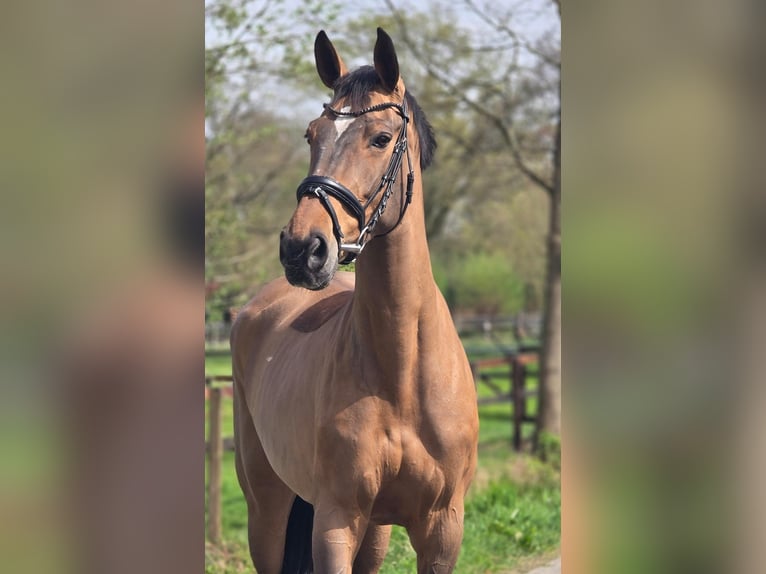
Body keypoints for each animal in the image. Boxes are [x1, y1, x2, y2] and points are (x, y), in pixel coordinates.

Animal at [231, 28, 479, 574]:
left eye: (381, 138)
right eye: (312, 134)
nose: (302, 248)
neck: (402, 371)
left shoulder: (442, 530)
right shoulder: (336, 521)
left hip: (376, 531)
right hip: (266, 511)